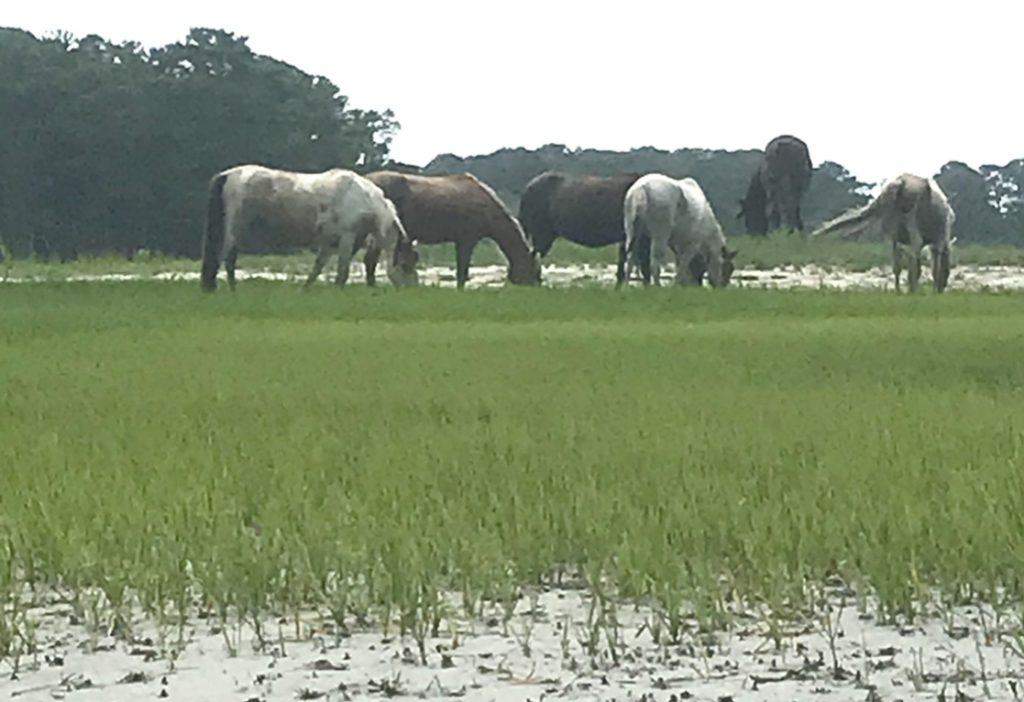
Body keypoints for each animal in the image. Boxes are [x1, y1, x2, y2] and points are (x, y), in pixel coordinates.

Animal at [200, 165, 420, 292]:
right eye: (406, 264)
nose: (412, 291)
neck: (363, 198)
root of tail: (227, 174)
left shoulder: (331, 242)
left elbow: (318, 267)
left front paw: (305, 289)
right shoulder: (346, 237)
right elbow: (342, 271)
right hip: (233, 229)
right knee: (226, 257)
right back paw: (228, 290)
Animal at [362, 171, 541, 289]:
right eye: (534, 270)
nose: (538, 285)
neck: (488, 210)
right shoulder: (466, 240)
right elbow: (462, 271)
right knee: (370, 260)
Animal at [811, 173, 956, 293]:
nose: (942, 289)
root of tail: (900, 183)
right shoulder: (939, 240)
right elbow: (934, 268)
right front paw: (933, 289)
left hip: (892, 232)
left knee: (897, 265)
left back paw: (899, 290)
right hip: (912, 229)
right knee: (914, 261)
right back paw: (912, 290)